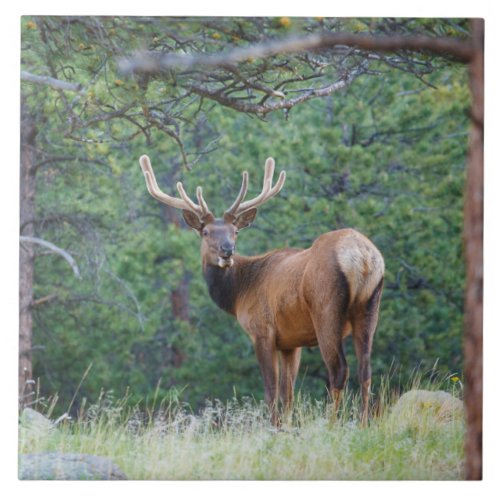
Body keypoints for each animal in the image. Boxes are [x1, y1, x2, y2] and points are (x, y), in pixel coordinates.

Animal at [139, 154, 384, 424]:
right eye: (205, 232)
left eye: (235, 231)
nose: (227, 250)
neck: (239, 294)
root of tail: (363, 257)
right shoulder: (291, 341)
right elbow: (288, 393)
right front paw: (287, 426)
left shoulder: (262, 330)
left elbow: (271, 391)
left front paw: (274, 427)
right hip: (370, 306)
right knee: (366, 369)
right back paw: (363, 423)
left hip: (326, 309)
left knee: (339, 369)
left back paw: (331, 425)